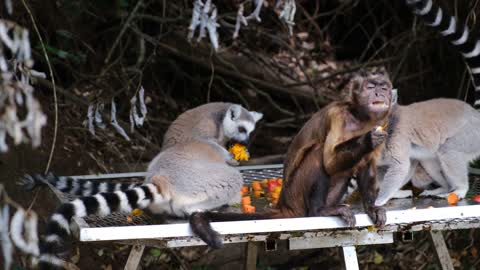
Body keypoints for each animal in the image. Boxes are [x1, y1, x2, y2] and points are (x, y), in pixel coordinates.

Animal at [189, 69, 396, 249]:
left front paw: (372, 208)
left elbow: (368, 165)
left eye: (384, 88)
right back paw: (318, 211)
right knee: (318, 153)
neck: (360, 118)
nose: (379, 92)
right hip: (297, 195)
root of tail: (284, 203)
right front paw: (367, 139)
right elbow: (329, 162)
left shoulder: (382, 123)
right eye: (370, 87)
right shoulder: (338, 116)